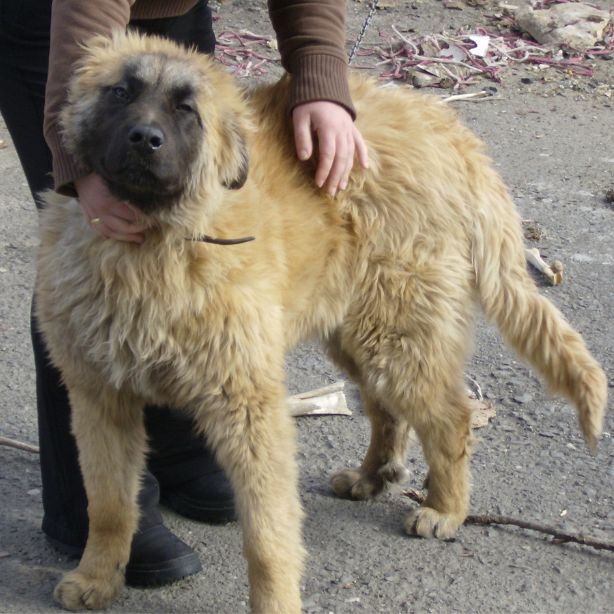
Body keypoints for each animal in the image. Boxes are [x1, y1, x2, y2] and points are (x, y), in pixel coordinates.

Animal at [36, 32, 608, 614]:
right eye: (121, 93)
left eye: (186, 111)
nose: (143, 139)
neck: (153, 245)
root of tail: (445, 128)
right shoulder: (99, 398)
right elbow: (108, 504)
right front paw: (98, 577)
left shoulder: (248, 407)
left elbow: (267, 534)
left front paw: (275, 602)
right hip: (359, 331)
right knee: (386, 410)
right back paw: (373, 476)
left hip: (397, 332)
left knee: (449, 416)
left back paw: (445, 508)